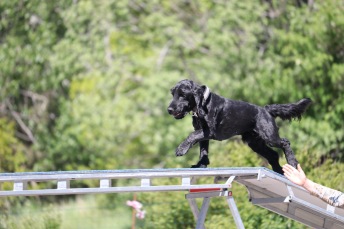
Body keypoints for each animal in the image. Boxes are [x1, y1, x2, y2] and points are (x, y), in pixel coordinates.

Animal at [167, 78, 312, 174]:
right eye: (173, 94)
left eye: (183, 95)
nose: (169, 109)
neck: (203, 104)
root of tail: (265, 109)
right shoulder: (202, 134)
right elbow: (203, 151)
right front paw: (201, 165)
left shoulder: (209, 131)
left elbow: (191, 136)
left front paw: (181, 149)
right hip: (255, 142)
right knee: (273, 155)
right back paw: (278, 171)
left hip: (269, 136)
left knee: (285, 142)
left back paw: (292, 163)